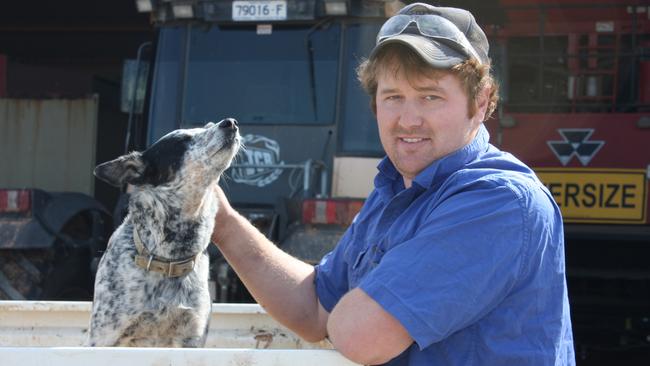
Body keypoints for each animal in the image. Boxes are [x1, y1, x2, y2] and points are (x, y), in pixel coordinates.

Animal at [85, 118, 238, 348]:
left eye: (207, 125)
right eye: (182, 141)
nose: (230, 122)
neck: (168, 259)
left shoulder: (192, 336)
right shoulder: (105, 337)